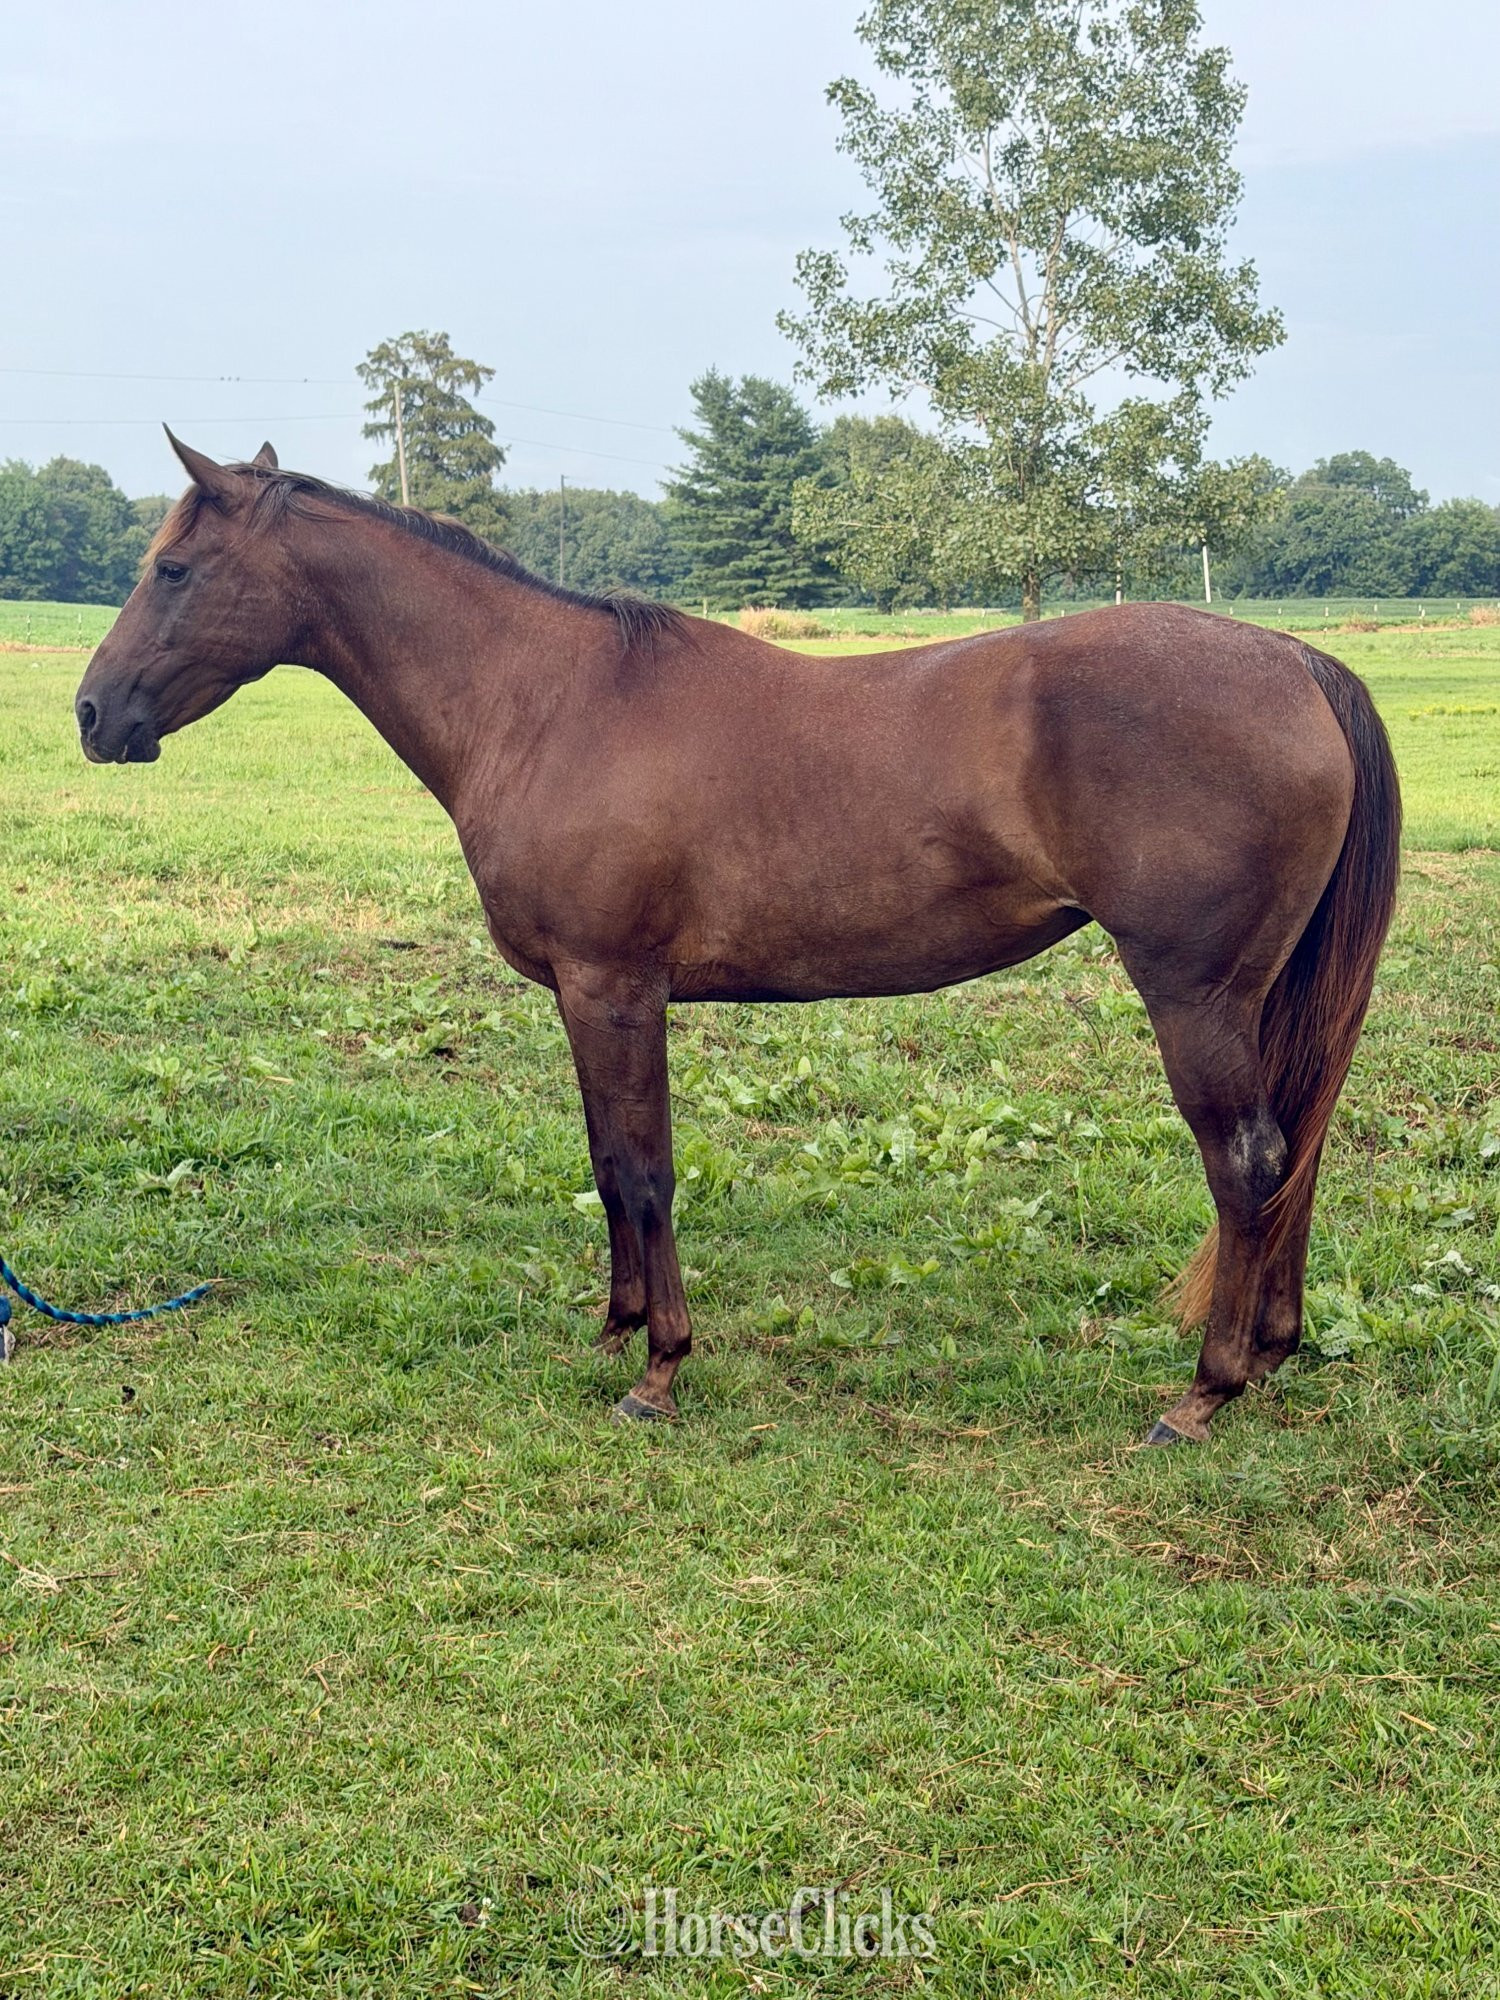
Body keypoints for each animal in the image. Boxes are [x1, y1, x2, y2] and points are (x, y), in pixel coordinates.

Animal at [74, 433, 1400, 1444]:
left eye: (175, 567)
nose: (93, 713)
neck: (545, 703)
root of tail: (1295, 659)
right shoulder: (583, 995)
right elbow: (609, 1162)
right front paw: (610, 1330)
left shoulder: (616, 987)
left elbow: (648, 1171)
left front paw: (660, 1368)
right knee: (1293, 1153)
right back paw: (1268, 1355)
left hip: (1196, 997)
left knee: (1248, 1164)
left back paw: (1203, 1392)